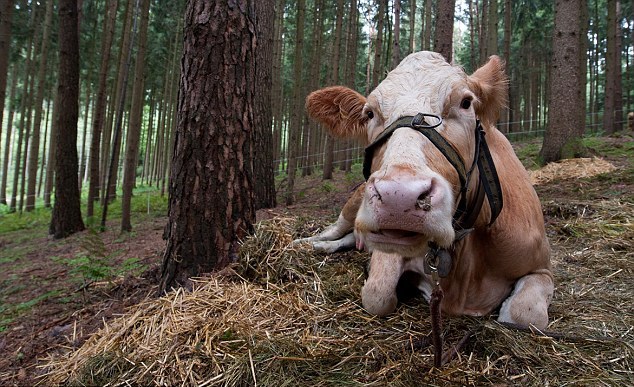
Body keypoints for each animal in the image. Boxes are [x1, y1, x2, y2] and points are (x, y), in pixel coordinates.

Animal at [294, 50, 552, 330]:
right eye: (369, 113)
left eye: (465, 102)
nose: (398, 197)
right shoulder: (388, 252)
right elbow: (377, 295)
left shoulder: (542, 267)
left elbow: (526, 314)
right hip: (352, 206)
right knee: (334, 231)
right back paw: (306, 243)